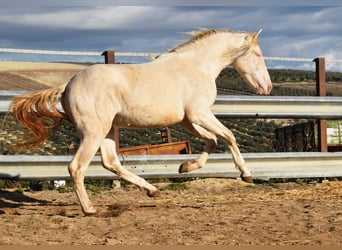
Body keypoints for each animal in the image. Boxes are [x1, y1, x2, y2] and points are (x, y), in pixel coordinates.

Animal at [9, 28, 272, 214]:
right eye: (258, 54)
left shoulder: (187, 119)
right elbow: (228, 136)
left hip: (106, 131)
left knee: (111, 162)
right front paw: (246, 174)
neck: (196, 66)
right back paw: (89, 208)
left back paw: (152, 190)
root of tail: (68, 85)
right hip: (93, 132)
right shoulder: (200, 114)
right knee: (77, 167)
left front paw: (185, 167)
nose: (267, 87)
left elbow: (212, 141)